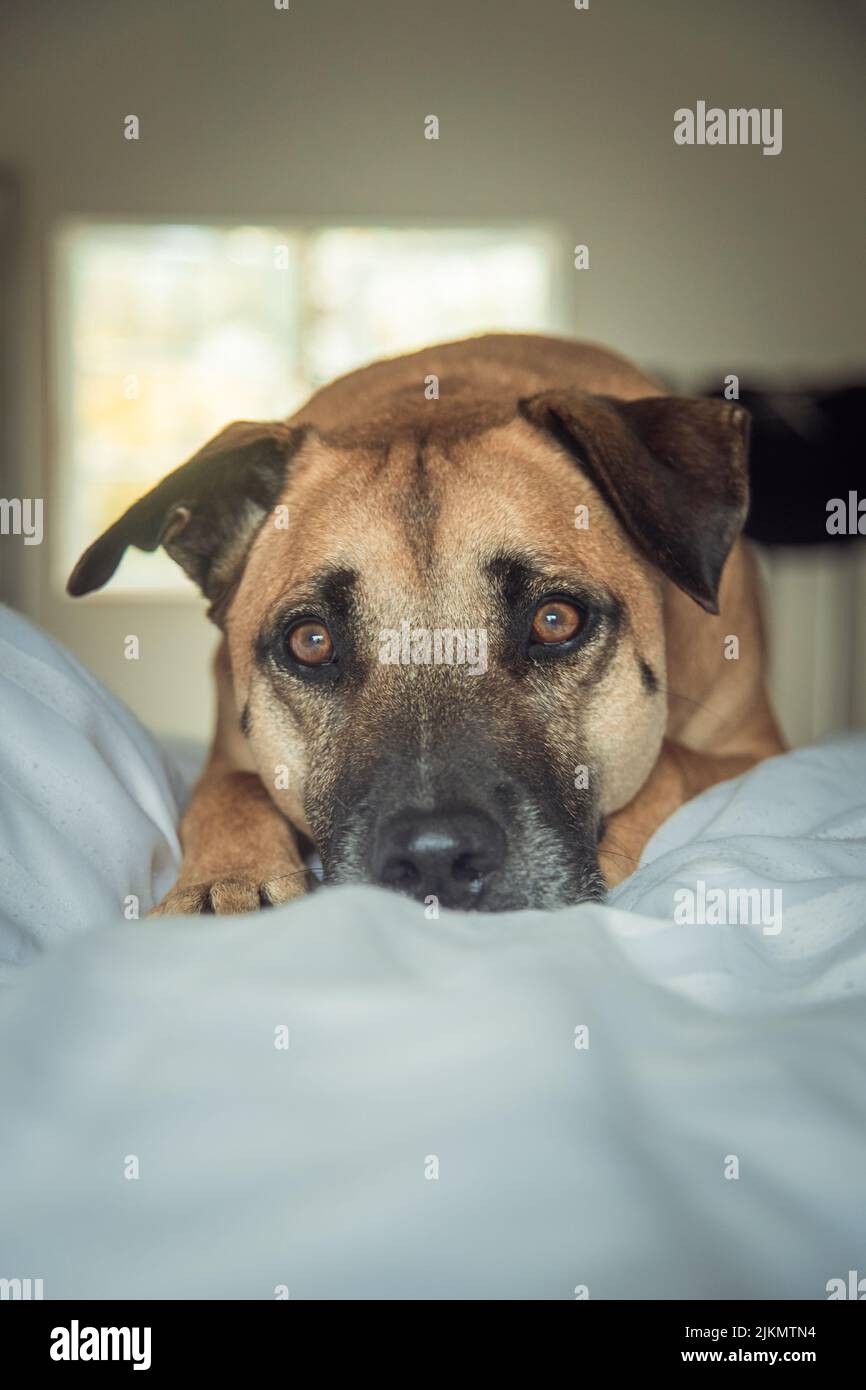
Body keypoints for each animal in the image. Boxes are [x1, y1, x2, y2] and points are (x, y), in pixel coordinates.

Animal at [67, 336, 783, 917]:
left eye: (555, 620)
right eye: (311, 641)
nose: (437, 859)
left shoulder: (755, 752)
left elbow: (673, 765)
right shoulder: (226, 757)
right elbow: (230, 788)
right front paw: (226, 882)